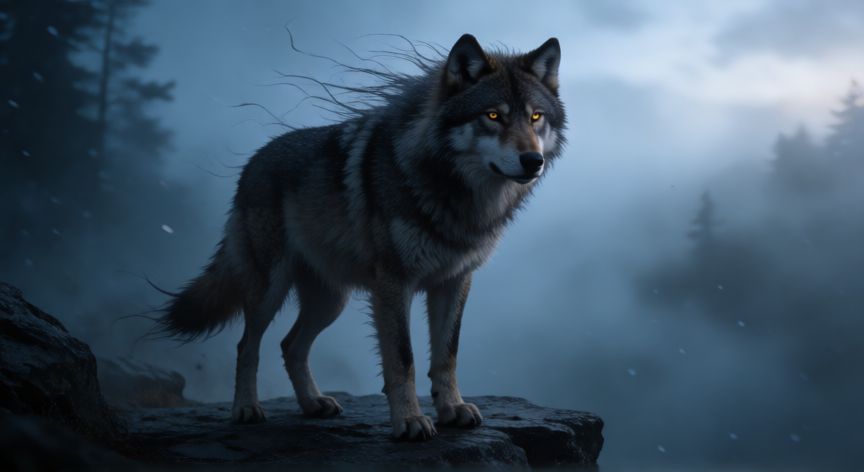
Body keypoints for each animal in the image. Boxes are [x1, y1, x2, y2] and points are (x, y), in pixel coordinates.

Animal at [158, 33, 565, 440]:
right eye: (493, 116)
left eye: (535, 117)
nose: (533, 161)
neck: (454, 194)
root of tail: (252, 161)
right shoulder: (394, 282)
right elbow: (402, 358)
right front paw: (410, 421)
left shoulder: (454, 281)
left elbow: (447, 354)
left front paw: (452, 409)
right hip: (269, 290)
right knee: (248, 345)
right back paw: (245, 408)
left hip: (330, 301)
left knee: (290, 345)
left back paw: (313, 404)